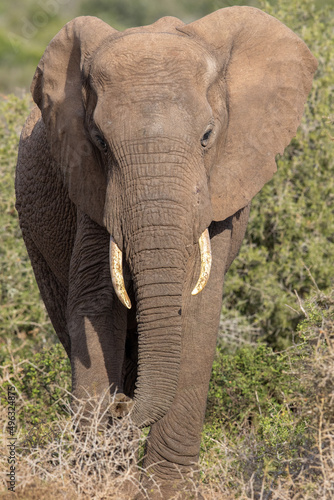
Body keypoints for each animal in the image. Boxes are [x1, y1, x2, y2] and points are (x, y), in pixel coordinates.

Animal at [15, 6, 316, 500]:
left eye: (207, 136)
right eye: (100, 141)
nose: (120, 407)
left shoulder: (218, 189)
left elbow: (197, 312)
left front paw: (164, 488)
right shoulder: (90, 187)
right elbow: (97, 307)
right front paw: (99, 478)